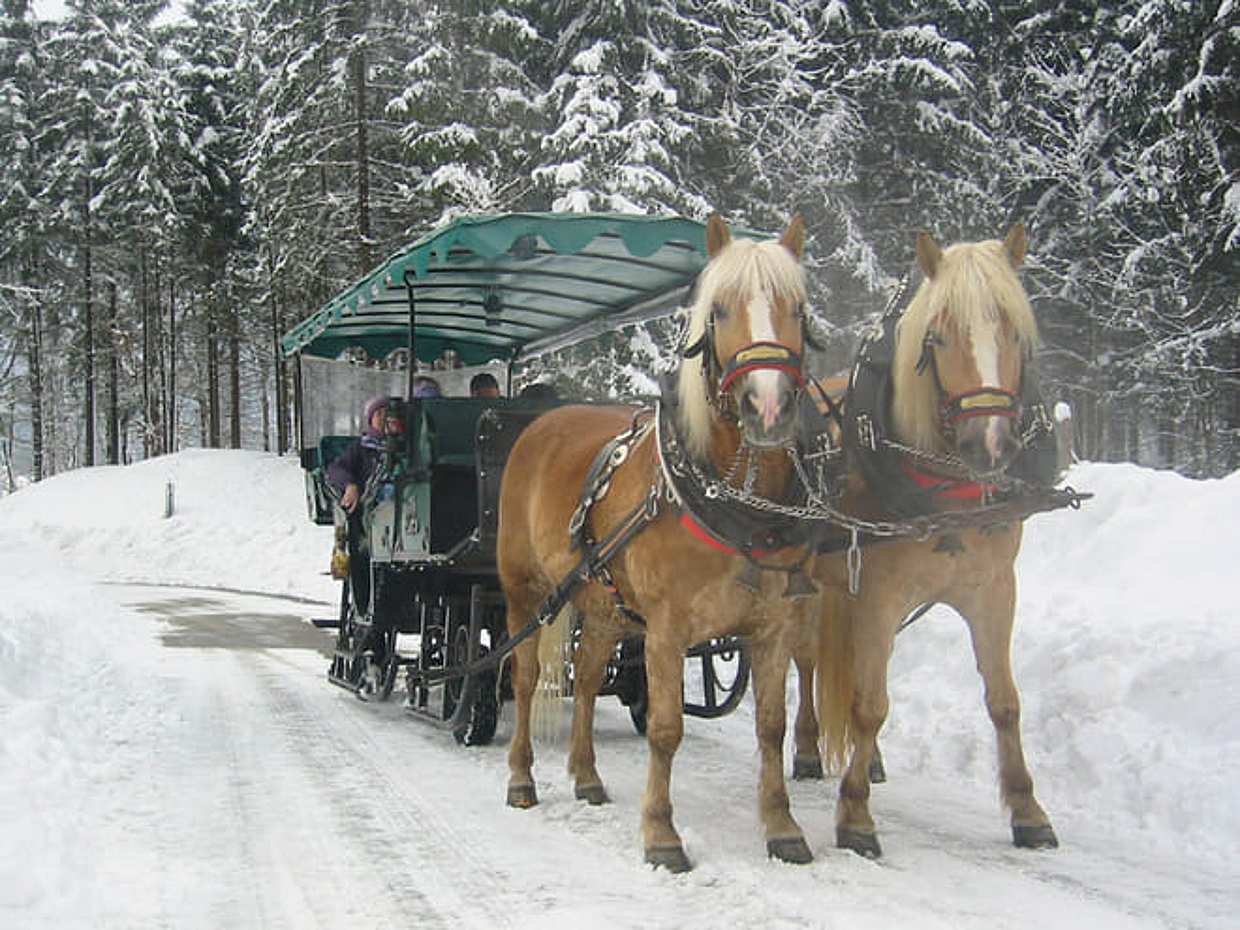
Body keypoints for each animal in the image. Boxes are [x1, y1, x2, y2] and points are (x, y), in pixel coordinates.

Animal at [497, 213, 819, 872]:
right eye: (718, 310)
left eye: (797, 309)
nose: (768, 405)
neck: (731, 502)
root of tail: (543, 420)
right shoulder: (667, 631)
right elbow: (668, 728)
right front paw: (661, 834)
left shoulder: (772, 628)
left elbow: (770, 727)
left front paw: (782, 827)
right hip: (524, 590)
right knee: (523, 677)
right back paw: (521, 778)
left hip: (603, 606)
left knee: (587, 680)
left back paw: (586, 775)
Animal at [814, 225, 1061, 858]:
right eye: (938, 336)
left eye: (1015, 330)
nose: (989, 443)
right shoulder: (878, 594)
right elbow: (871, 704)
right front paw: (855, 816)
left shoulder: (994, 589)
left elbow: (1005, 702)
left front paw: (1028, 809)